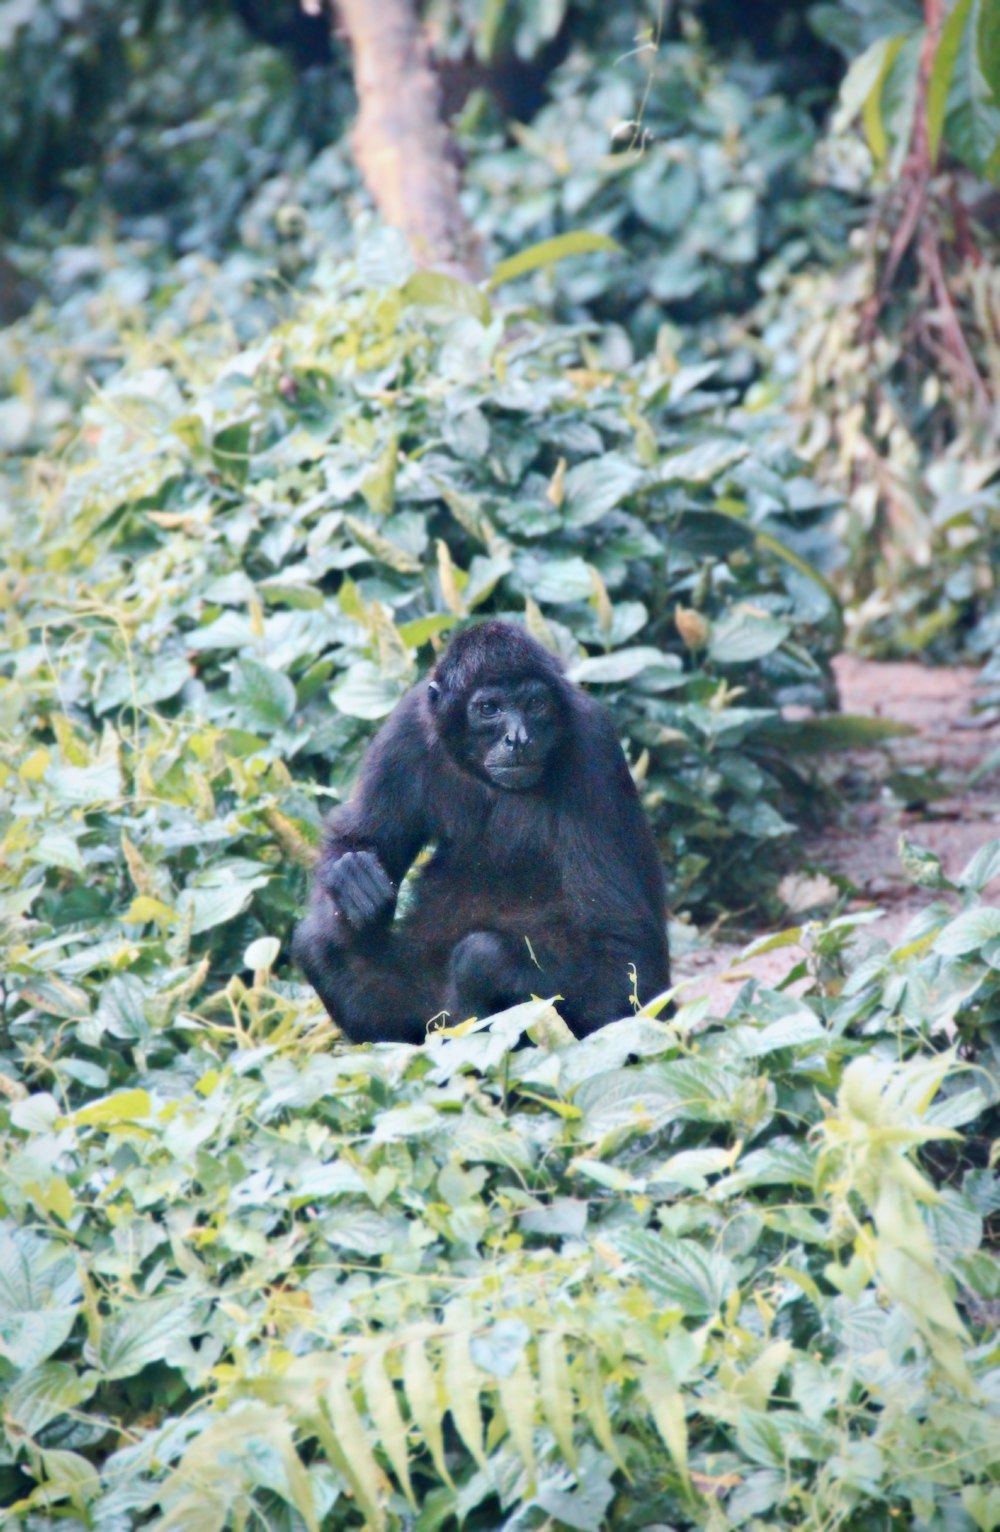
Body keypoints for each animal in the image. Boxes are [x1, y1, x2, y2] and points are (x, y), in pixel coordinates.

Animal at [297, 618, 670, 1041]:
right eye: (489, 709)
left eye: (534, 704)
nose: (518, 738)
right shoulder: (407, 728)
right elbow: (361, 839)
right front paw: (353, 876)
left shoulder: (593, 745)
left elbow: (624, 950)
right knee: (318, 943)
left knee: (480, 957)